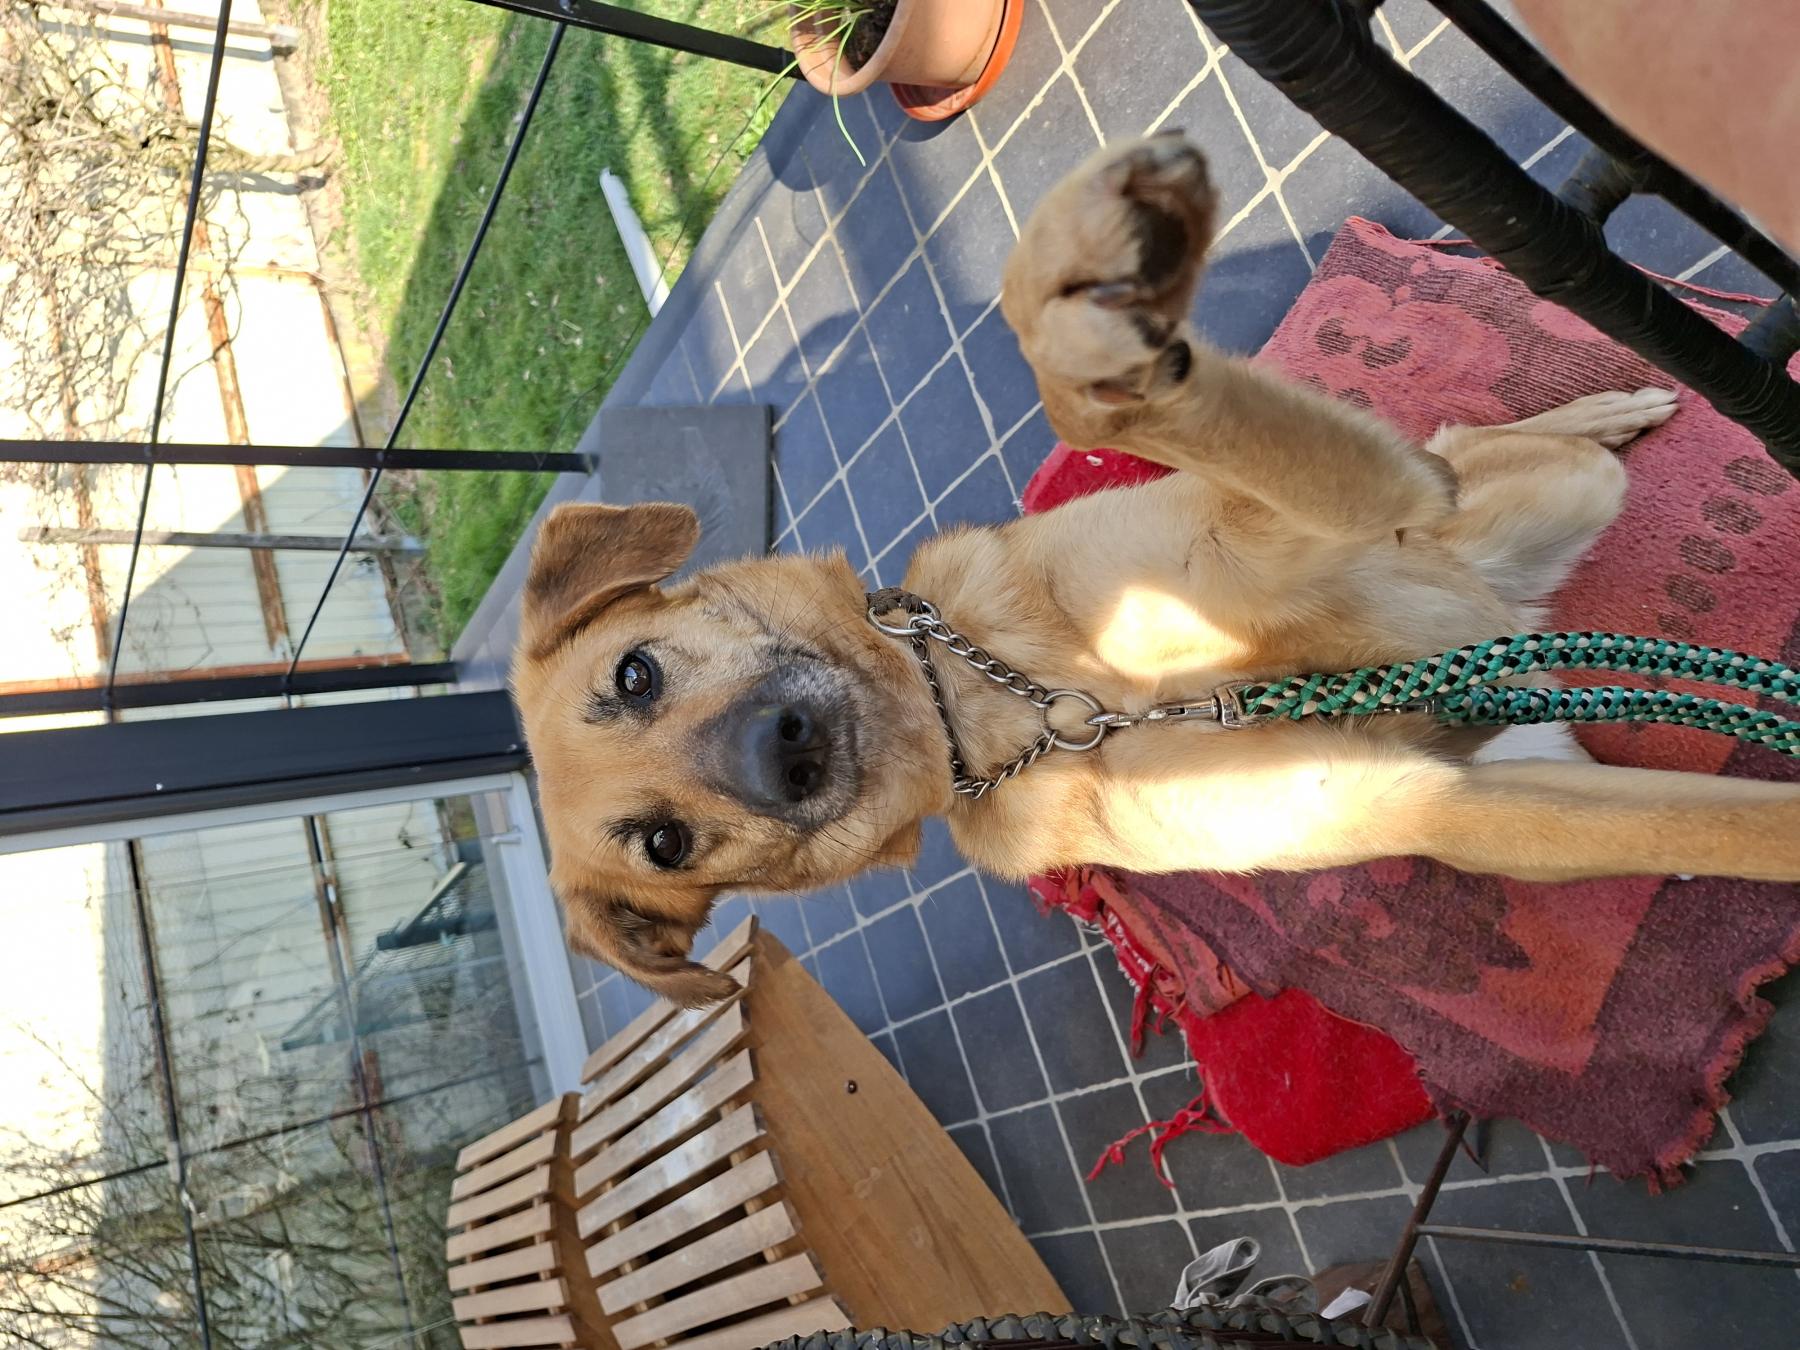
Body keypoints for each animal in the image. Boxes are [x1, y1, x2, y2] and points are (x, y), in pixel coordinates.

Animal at [512, 133, 1800, 1006]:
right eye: (664, 845)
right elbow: (1733, 835)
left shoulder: (1274, 524)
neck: (1005, 707)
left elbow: (1101, 388)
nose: (784, 752)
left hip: (1527, 498)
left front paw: (1084, 284)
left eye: (634, 675)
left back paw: (1609, 404)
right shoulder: (1450, 806)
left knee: (1461, 443)